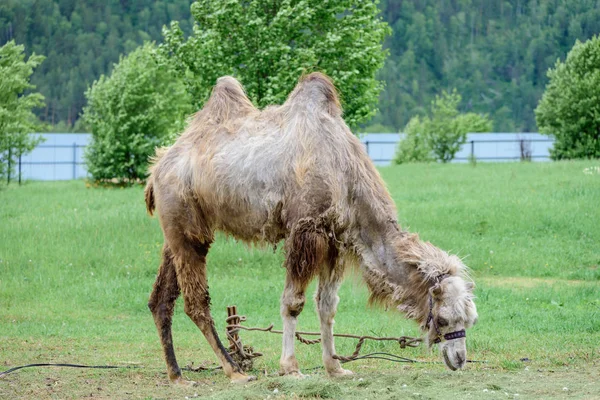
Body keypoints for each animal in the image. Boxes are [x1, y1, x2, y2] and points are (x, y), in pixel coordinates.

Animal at [145, 72, 478, 384]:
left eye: (470, 319)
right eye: (445, 318)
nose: (459, 358)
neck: (345, 173)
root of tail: (156, 168)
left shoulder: (335, 240)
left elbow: (327, 306)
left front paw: (336, 367)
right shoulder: (305, 231)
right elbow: (293, 303)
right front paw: (290, 368)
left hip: (178, 228)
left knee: (162, 298)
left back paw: (177, 375)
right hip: (184, 218)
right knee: (195, 301)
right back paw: (234, 370)